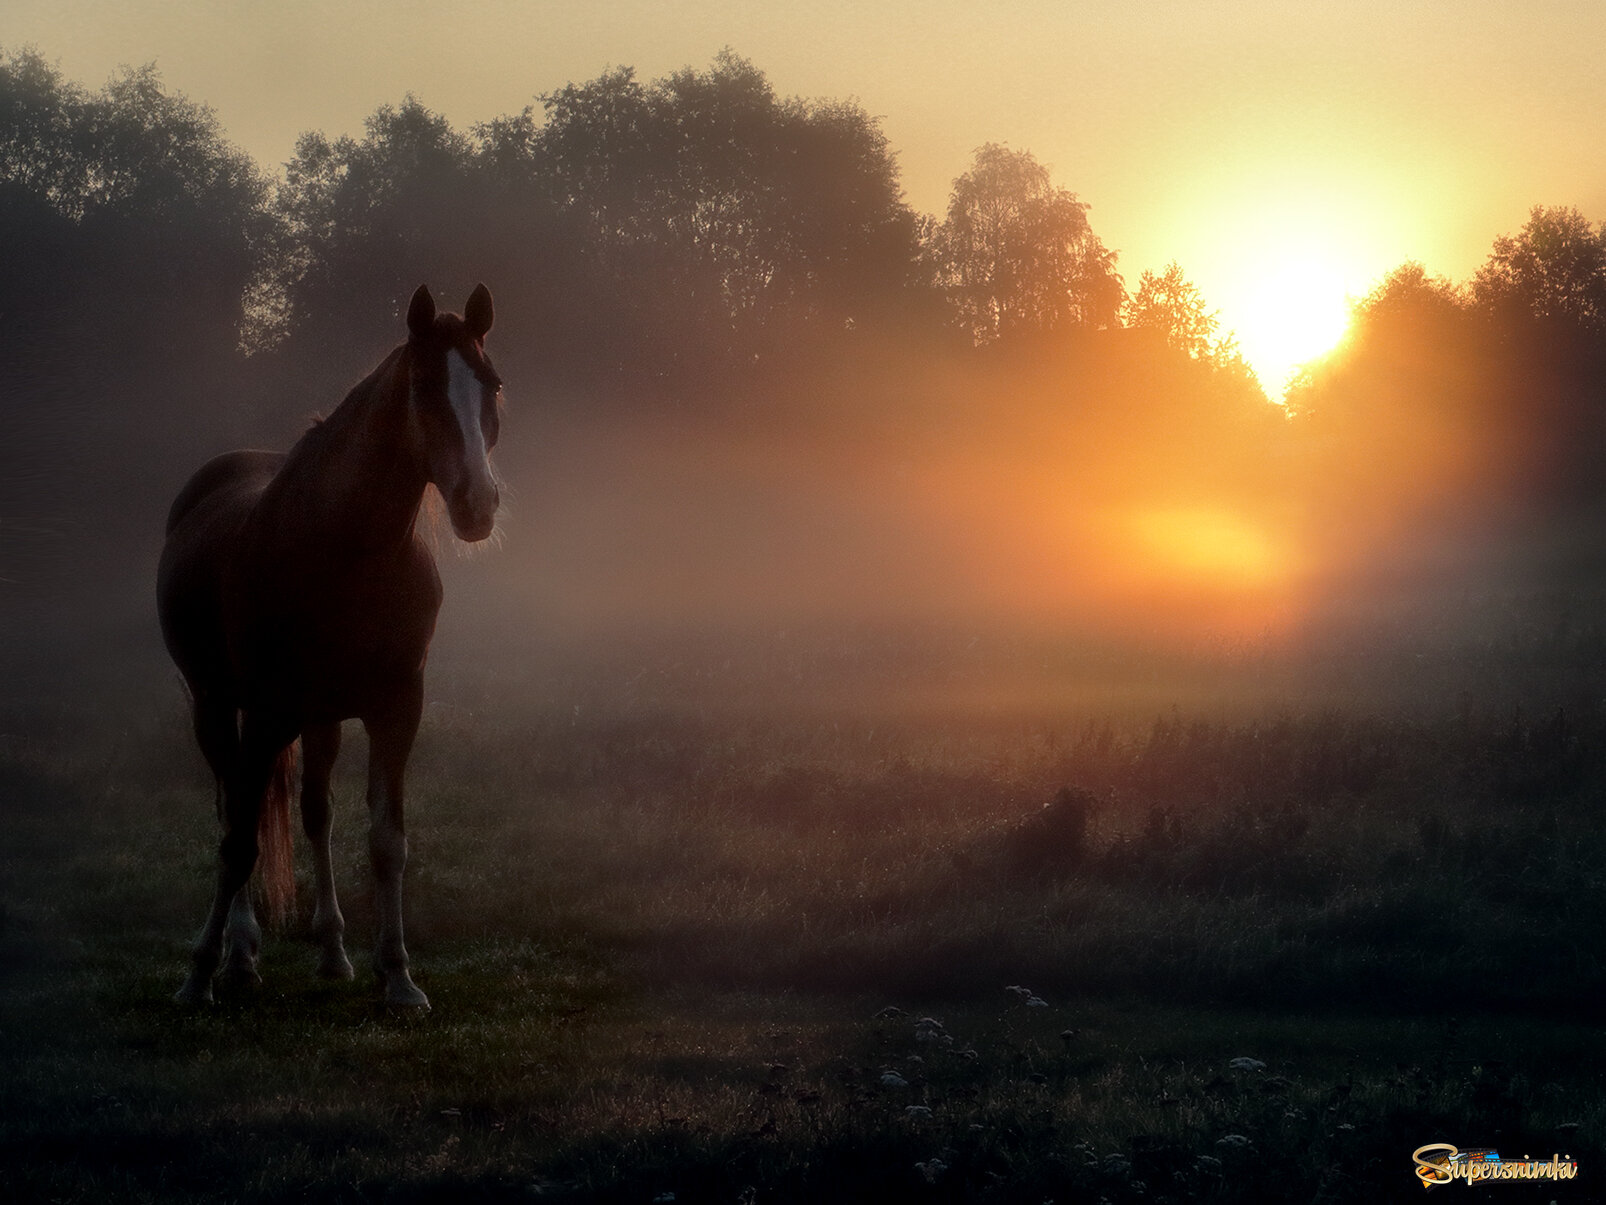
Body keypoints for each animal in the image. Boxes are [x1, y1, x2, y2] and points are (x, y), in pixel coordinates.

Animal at [157, 282, 504, 1008]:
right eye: (423, 386)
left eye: (491, 385)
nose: (478, 504)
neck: (346, 550)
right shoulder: (263, 713)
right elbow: (239, 844)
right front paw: (199, 974)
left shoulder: (398, 708)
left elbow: (386, 841)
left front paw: (397, 976)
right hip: (215, 705)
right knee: (236, 811)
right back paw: (239, 956)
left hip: (317, 719)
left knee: (314, 813)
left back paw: (332, 952)